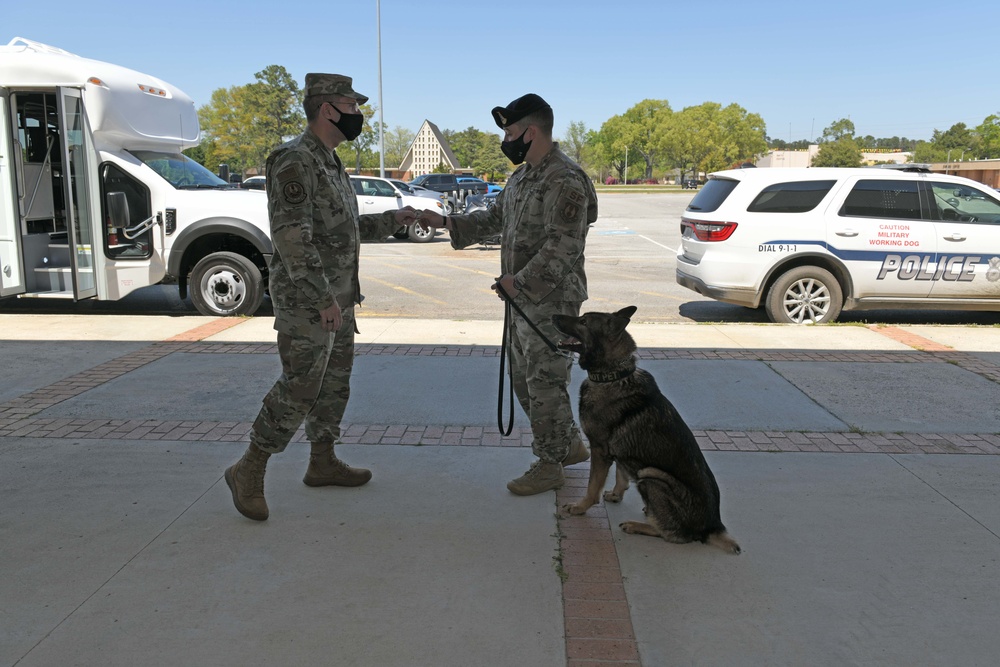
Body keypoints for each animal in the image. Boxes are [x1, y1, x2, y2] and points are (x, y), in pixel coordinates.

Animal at [552, 306, 740, 552]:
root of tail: (711, 527)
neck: (613, 376)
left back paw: (638, 525)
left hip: (650, 476)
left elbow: (593, 486)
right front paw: (616, 494)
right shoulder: (618, 452)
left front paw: (580, 507)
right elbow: (621, 473)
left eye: (583, 322)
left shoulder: (600, 450)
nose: (553, 316)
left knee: (674, 535)